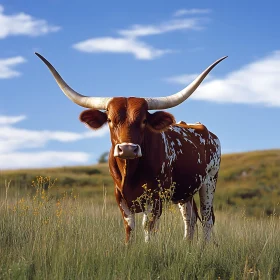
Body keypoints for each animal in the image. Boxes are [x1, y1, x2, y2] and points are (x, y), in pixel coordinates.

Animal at [35, 53, 228, 243]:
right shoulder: (120, 196)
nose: (127, 149)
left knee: (207, 219)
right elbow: (129, 227)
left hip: (209, 182)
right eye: (110, 120)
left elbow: (148, 227)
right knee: (190, 218)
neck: (131, 172)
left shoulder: (155, 198)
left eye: (143, 120)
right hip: (184, 191)